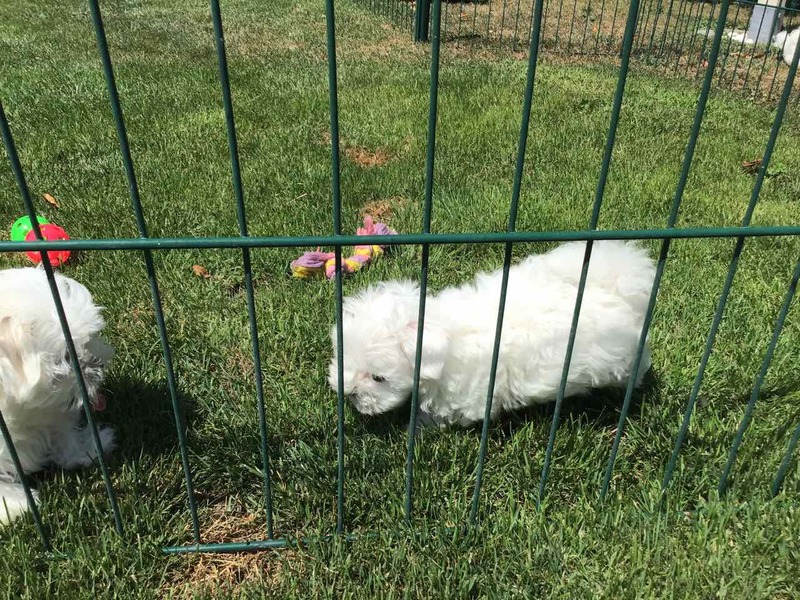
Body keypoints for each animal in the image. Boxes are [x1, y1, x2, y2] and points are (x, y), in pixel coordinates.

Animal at [0, 267, 114, 523]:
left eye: (89, 340)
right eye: (65, 357)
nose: (97, 364)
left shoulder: (52, 409)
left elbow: (63, 434)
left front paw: (90, 448)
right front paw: (16, 504)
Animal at [329, 241, 657, 427]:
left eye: (378, 378)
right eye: (344, 360)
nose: (349, 394)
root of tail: (618, 288)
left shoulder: (464, 395)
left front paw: (419, 426)